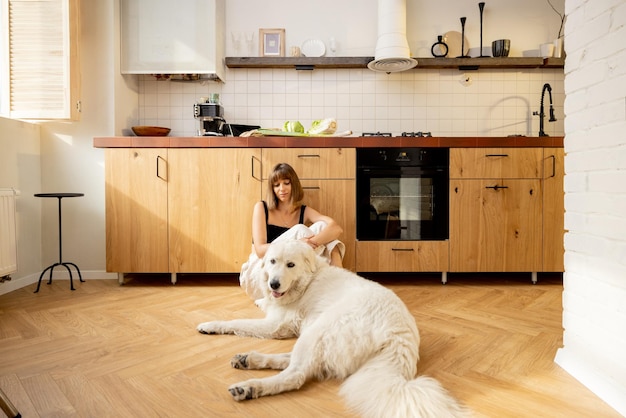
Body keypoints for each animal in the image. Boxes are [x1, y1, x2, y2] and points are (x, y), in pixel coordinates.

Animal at [197, 240, 466, 416]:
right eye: (272, 261)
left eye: (290, 265)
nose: (273, 283)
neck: (308, 280)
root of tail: (400, 337)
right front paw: (261, 300)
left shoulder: (275, 325)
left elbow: (237, 322)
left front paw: (210, 324)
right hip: (317, 335)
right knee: (297, 362)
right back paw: (248, 359)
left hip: (321, 329)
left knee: (296, 374)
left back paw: (248, 387)